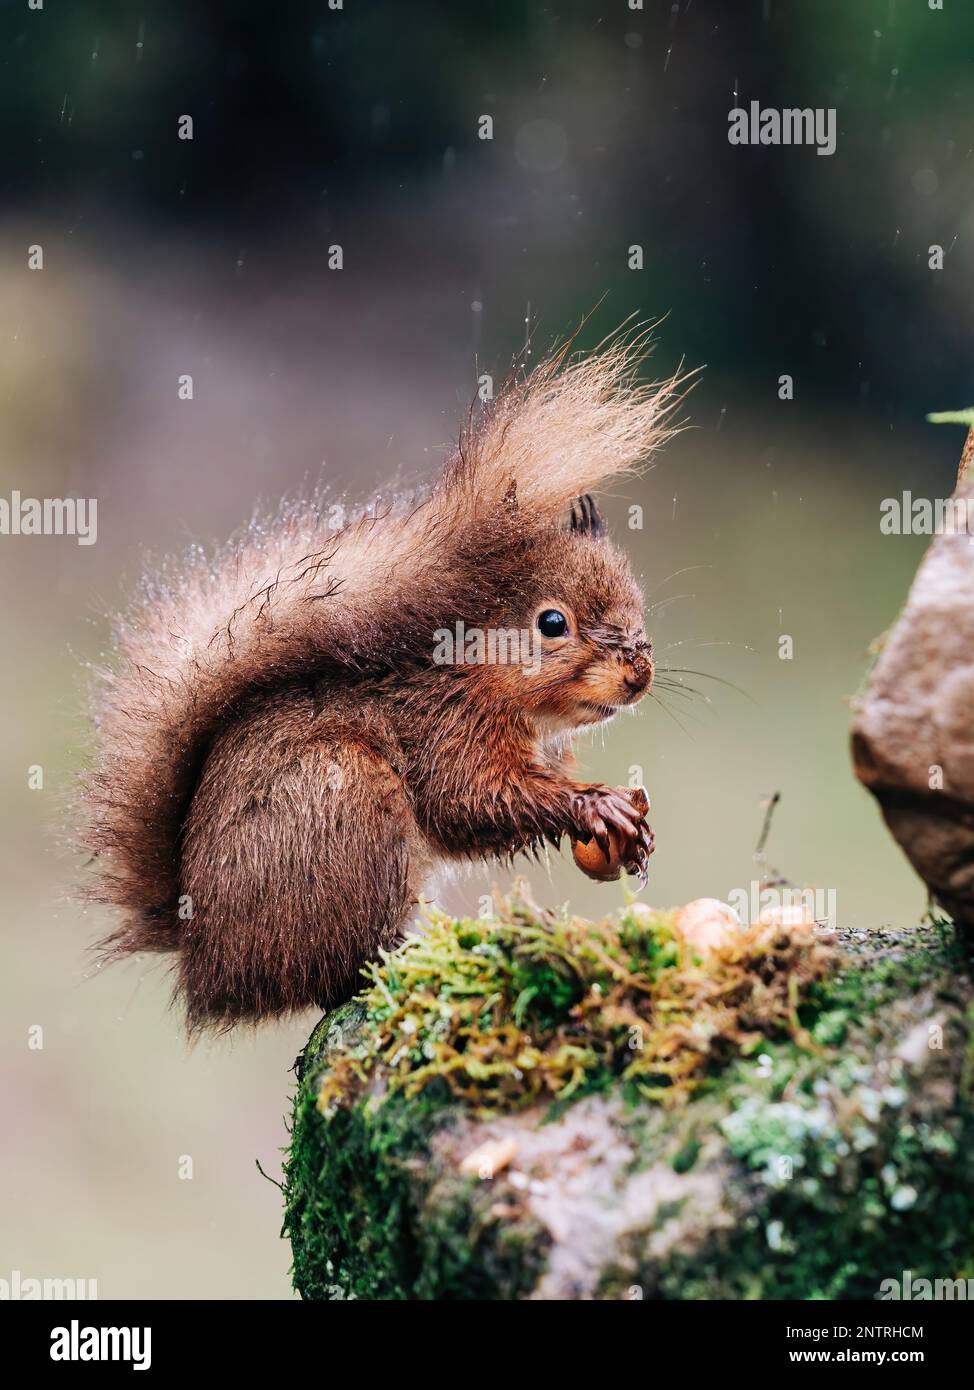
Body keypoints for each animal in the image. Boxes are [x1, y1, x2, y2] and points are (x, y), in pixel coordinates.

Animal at [81, 334, 680, 1031]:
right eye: (552, 623)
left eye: (638, 601)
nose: (638, 675)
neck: (488, 682)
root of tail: (208, 963)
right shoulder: (445, 725)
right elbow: (470, 802)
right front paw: (596, 804)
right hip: (345, 806)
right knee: (329, 974)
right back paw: (393, 952)